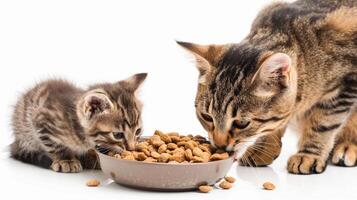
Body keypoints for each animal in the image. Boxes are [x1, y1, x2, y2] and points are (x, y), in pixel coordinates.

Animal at [10, 72, 146, 173]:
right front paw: (66, 160)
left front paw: (92, 155)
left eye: (138, 131)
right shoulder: (42, 121)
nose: (132, 149)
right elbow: (55, 145)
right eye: (118, 135)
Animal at [178, 0, 356, 174]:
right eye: (206, 117)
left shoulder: (346, 86)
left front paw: (308, 154)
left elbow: (322, 123)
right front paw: (263, 148)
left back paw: (347, 146)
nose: (220, 146)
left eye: (241, 123)